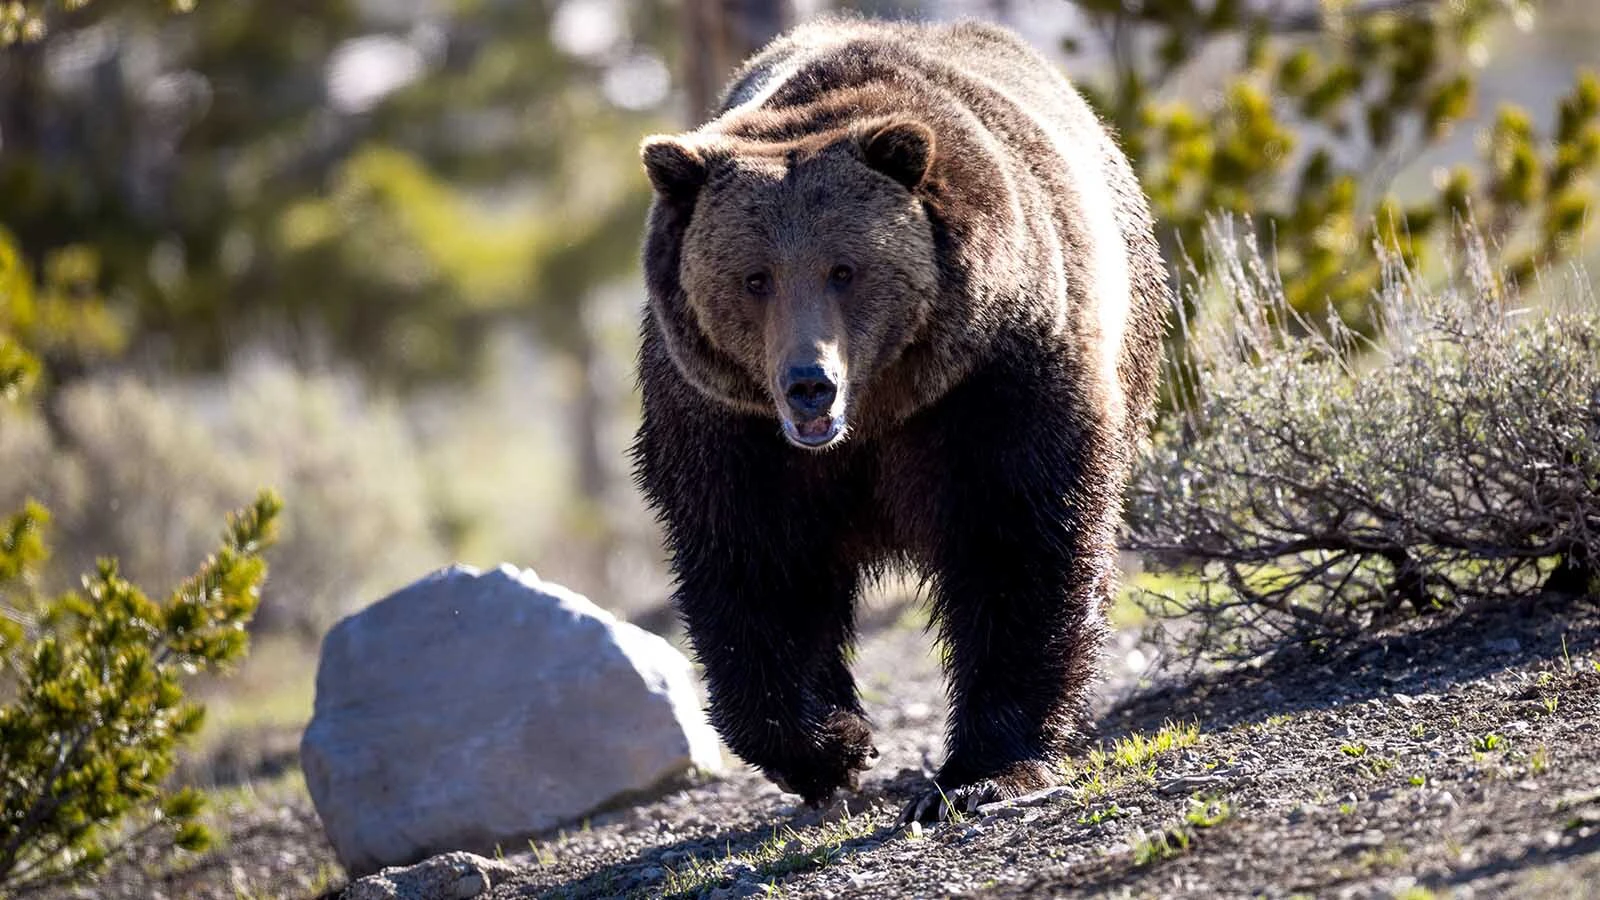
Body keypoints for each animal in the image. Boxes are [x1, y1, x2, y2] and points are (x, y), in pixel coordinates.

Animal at [632, 17, 1169, 822]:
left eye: (844, 269)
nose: (809, 386)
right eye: (755, 278)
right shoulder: (729, 426)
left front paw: (984, 766)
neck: (877, 414)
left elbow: (1015, 541)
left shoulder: (995, 379)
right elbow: (754, 566)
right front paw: (830, 747)